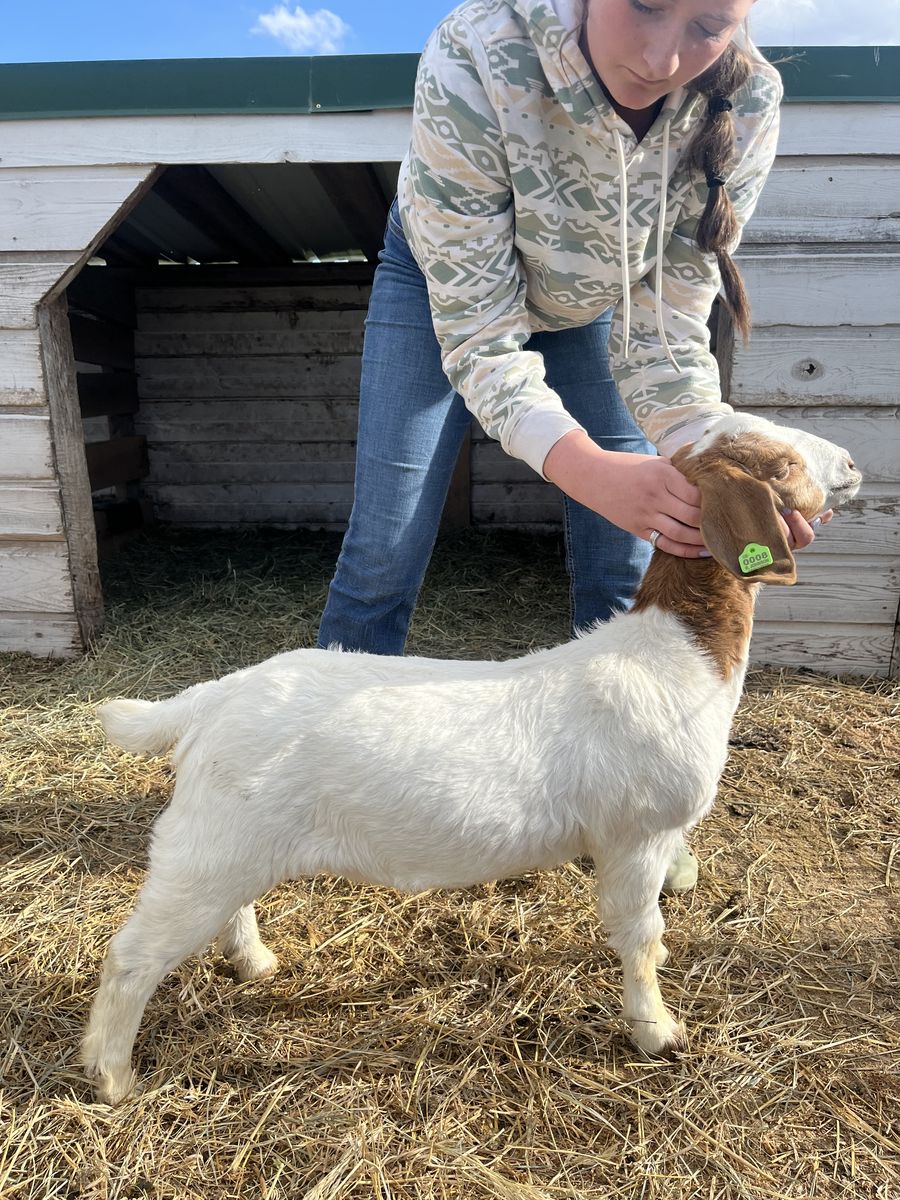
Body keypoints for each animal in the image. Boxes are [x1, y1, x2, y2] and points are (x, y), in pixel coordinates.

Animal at [82, 413, 861, 1103]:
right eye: (780, 464)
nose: (853, 464)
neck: (676, 653)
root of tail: (213, 699)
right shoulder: (635, 837)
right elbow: (639, 937)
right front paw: (658, 1031)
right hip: (205, 848)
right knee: (131, 956)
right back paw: (112, 1078)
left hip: (233, 841)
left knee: (229, 908)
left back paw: (254, 964)